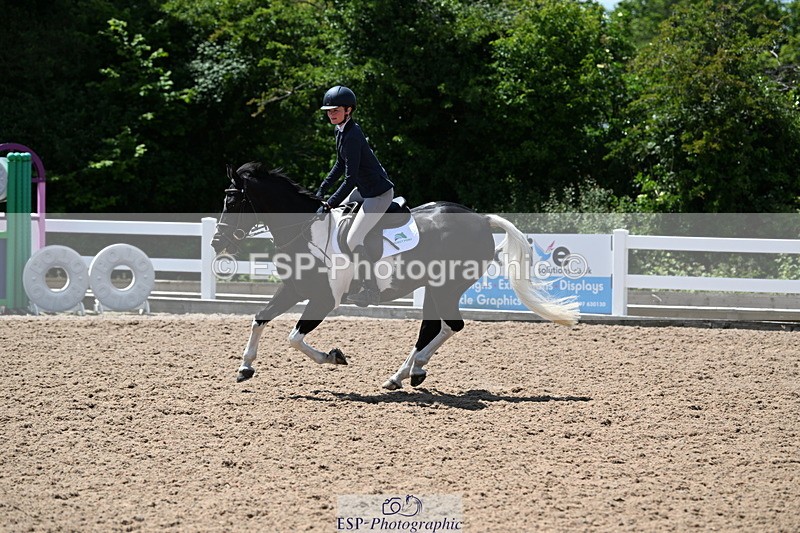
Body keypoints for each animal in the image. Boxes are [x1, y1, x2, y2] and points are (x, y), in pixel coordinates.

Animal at [211, 162, 579, 389]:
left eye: (234, 202)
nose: (217, 243)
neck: (307, 231)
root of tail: (481, 219)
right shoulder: (294, 288)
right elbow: (261, 317)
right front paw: (245, 367)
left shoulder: (324, 298)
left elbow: (294, 337)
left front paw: (333, 356)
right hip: (434, 287)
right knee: (431, 327)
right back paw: (405, 374)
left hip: (447, 286)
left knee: (450, 325)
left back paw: (409, 371)